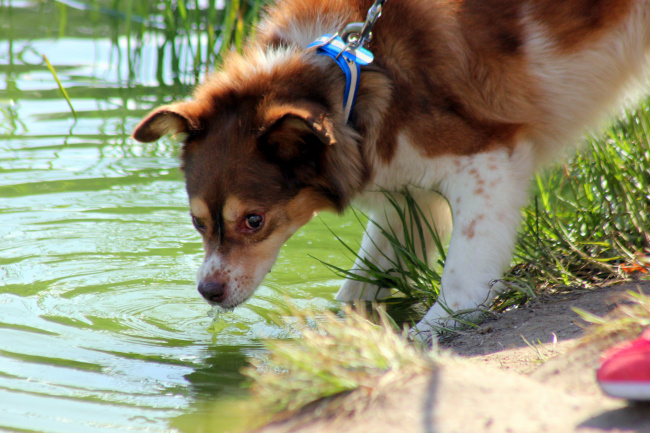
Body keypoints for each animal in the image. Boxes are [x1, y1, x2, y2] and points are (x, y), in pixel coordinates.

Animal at [132, 0, 648, 336]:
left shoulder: (489, 161)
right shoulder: (409, 198)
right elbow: (360, 287)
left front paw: (426, 334)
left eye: (253, 221)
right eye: (198, 222)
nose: (208, 292)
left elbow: (462, 278)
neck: (353, 76)